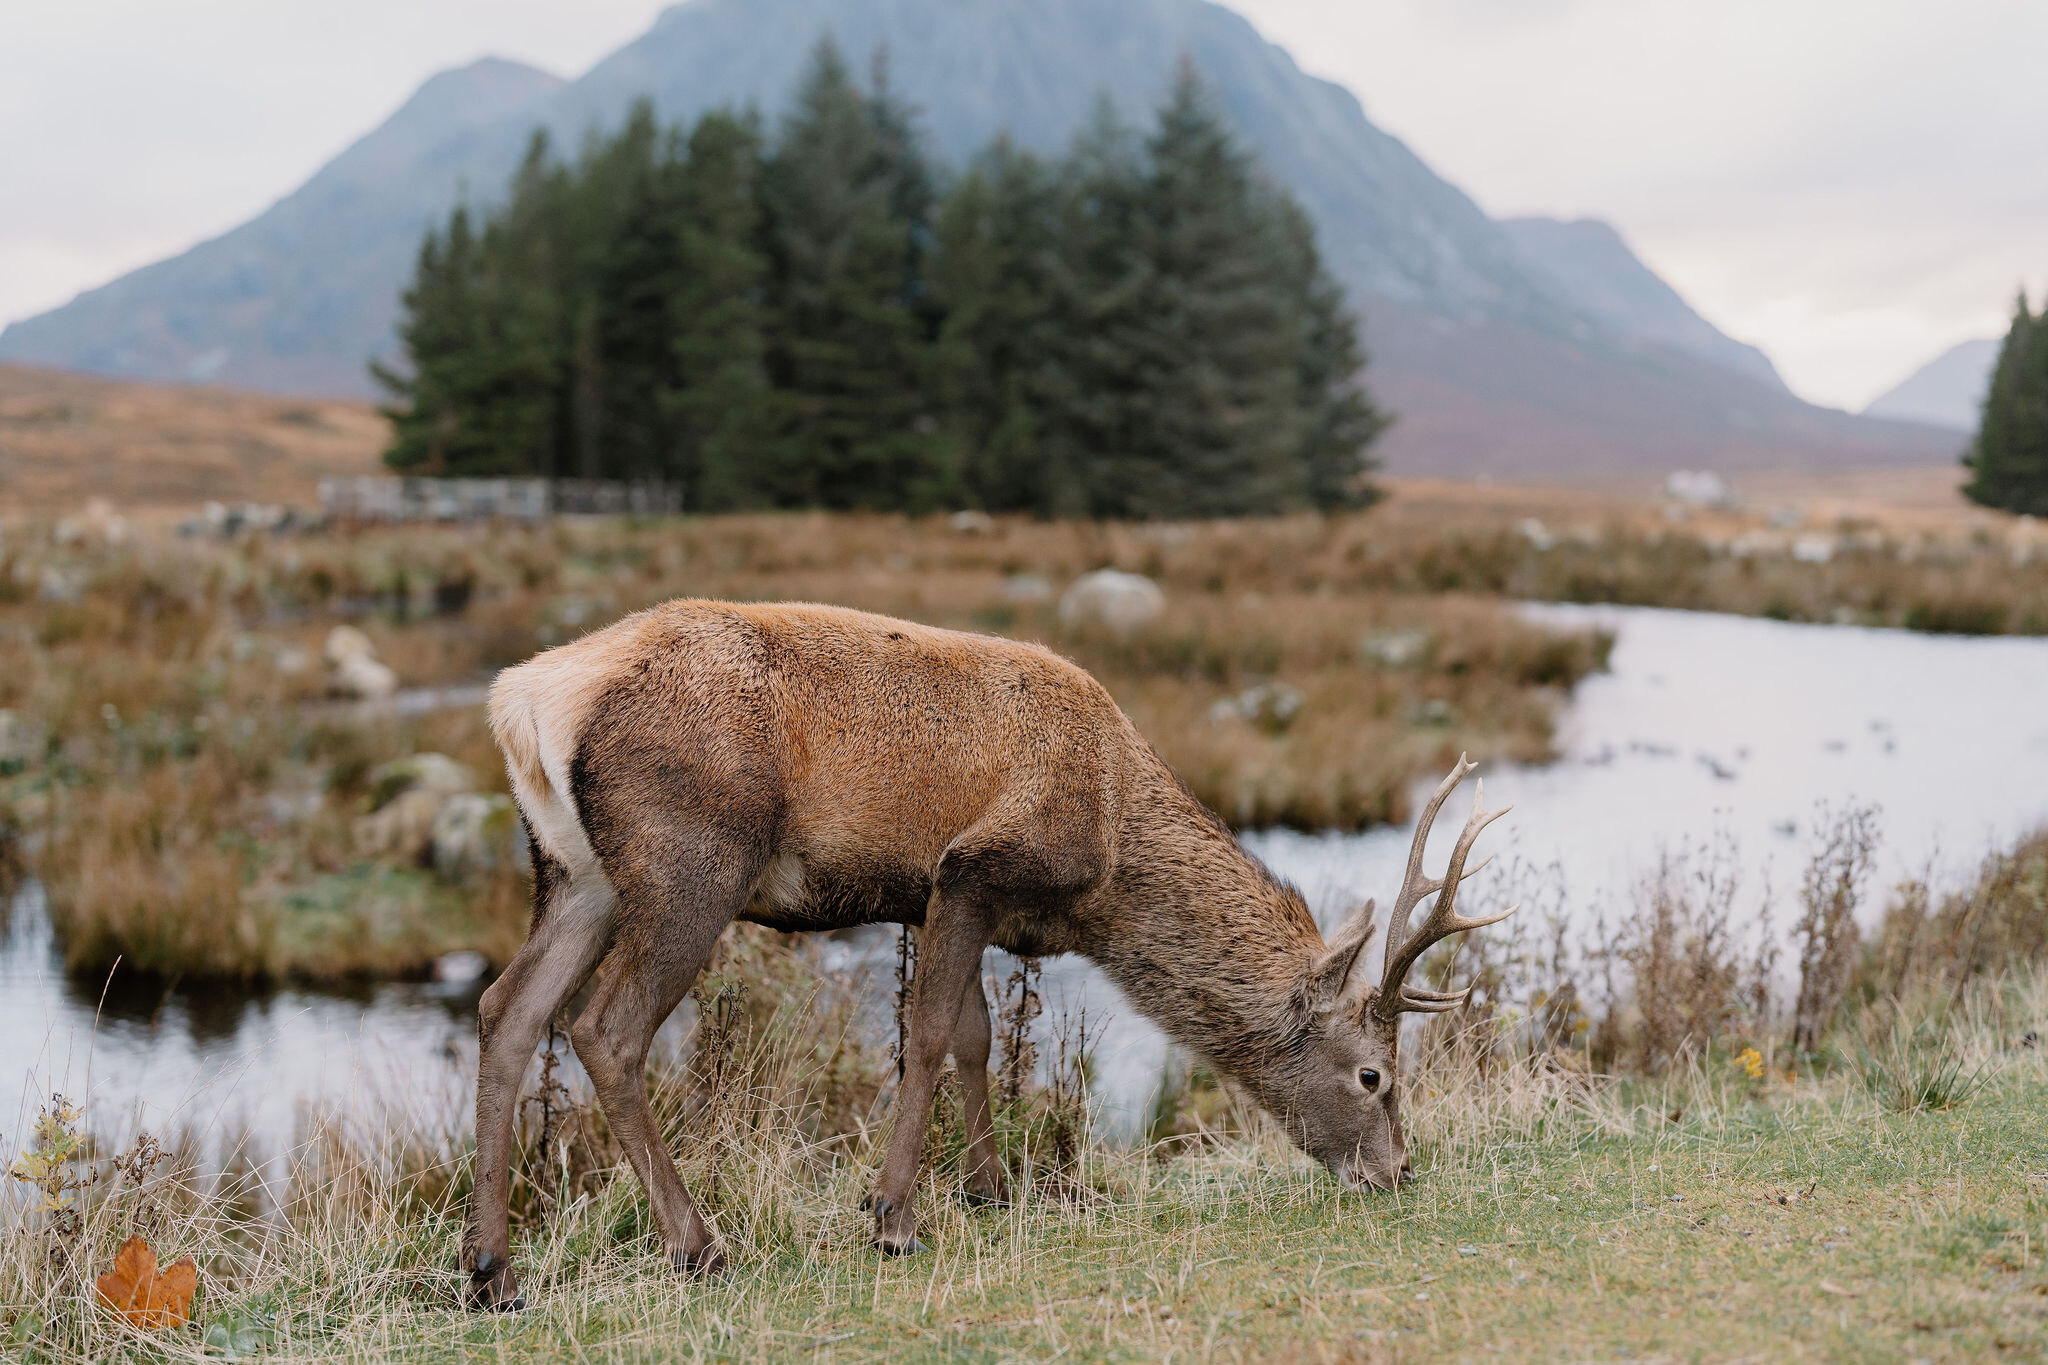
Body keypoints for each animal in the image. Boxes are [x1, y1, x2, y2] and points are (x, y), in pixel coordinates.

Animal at [461, 599, 1513, 1309]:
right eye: (1374, 1074)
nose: (1399, 1171)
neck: (1107, 853)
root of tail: (523, 700)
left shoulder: (946, 896)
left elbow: (974, 1035)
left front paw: (989, 1190)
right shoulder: (972, 868)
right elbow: (927, 1036)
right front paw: (893, 1217)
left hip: (574, 873)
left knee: (506, 1008)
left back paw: (491, 1270)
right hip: (693, 854)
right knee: (605, 1027)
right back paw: (700, 1246)